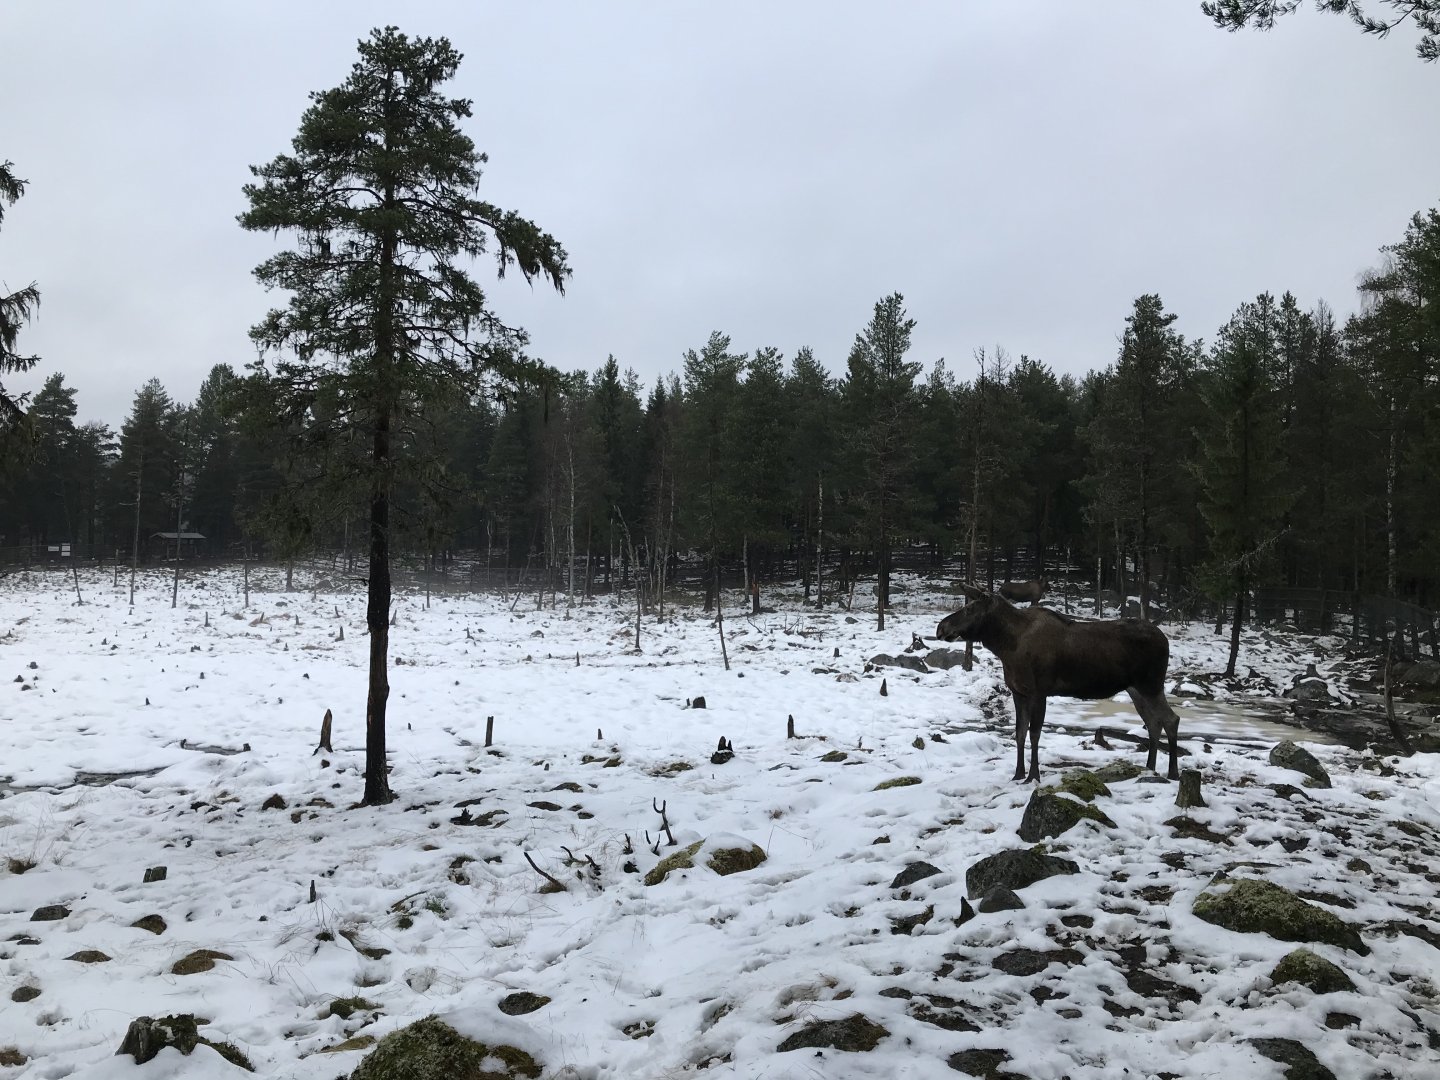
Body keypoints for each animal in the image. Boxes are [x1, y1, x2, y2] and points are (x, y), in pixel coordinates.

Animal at [936, 584, 1180, 783]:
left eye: (970, 609)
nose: (941, 628)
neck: (1006, 646)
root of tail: (1165, 640)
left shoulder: (1039, 691)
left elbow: (1034, 734)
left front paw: (1033, 776)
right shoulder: (1018, 692)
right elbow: (1019, 733)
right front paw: (1018, 774)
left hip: (1151, 685)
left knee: (1170, 719)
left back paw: (1173, 773)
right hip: (1135, 689)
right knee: (1154, 722)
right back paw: (1149, 769)